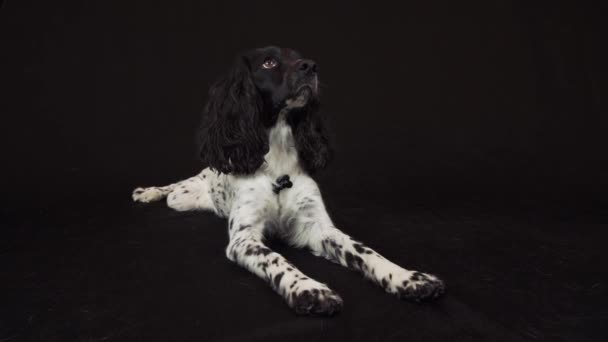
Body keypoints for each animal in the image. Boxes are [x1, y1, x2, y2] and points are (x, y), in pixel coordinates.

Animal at [133, 45, 444, 316]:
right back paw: (146, 192)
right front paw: (309, 290)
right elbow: (277, 259)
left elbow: (364, 251)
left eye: (299, 56)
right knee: (172, 189)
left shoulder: (316, 226)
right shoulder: (244, 238)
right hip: (183, 197)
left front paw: (408, 278)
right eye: (269, 62)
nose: (311, 66)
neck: (278, 158)